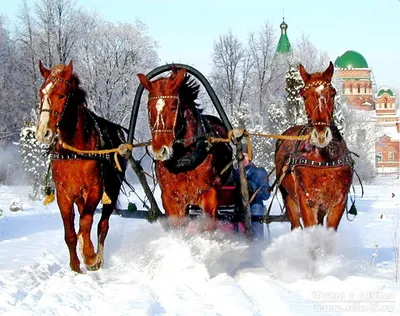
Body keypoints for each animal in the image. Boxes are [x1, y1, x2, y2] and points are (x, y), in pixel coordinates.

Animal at [36, 60, 126, 272]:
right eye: (41, 93)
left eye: (62, 94)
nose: (43, 132)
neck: (74, 150)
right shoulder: (64, 194)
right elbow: (70, 232)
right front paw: (75, 263)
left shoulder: (95, 189)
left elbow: (86, 222)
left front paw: (90, 256)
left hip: (112, 190)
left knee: (102, 224)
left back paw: (97, 256)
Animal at [138, 67, 233, 230]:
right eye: (149, 109)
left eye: (173, 107)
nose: (159, 150)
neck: (184, 160)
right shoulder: (171, 198)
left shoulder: (210, 193)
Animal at [276, 61, 354, 230]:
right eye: (304, 95)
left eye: (333, 93)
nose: (321, 135)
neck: (323, 160)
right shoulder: (306, 202)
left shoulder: (337, 203)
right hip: (288, 198)